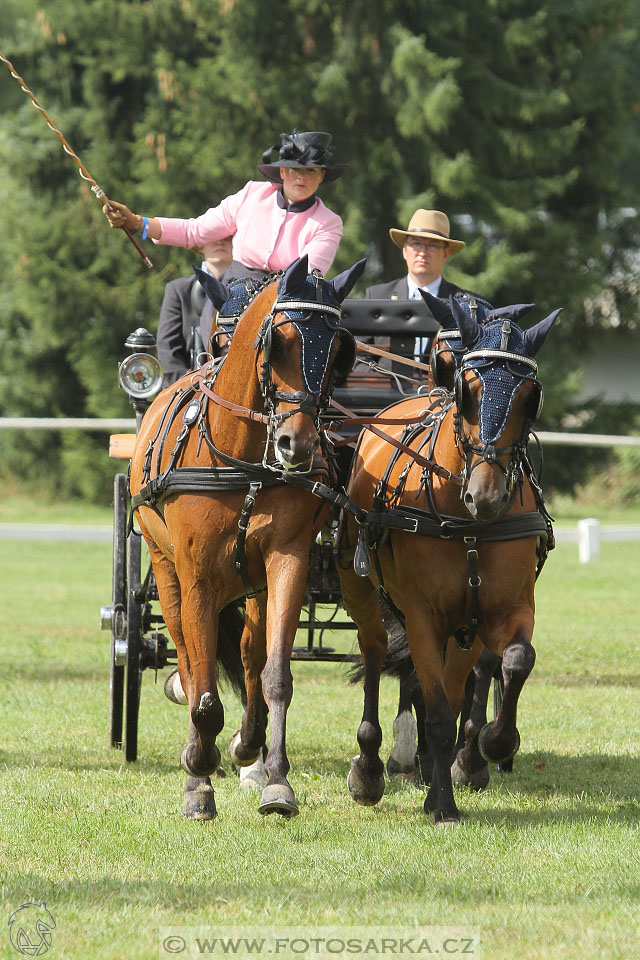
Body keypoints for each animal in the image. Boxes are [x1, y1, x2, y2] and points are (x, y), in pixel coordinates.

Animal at [130, 255, 364, 816]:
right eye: (278, 342)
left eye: (338, 349)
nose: (296, 444)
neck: (244, 460)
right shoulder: (195, 574)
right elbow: (203, 686)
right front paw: (198, 778)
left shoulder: (287, 561)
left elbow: (275, 674)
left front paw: (275, 778)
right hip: (165, 567)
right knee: (187, 654)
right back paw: (200, 752)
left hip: (251, 583)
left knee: (251, 654)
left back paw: (246, 747)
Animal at [340, 296, 560, 820]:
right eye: (469, 390)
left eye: (530, 396)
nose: (488, 496)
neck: (467, 524)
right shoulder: (423, 615)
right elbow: (439, 710)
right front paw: (443, 805)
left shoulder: (502, 610)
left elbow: (514, 661)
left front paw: (493, 745)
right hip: (363, 591)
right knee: (376, 656)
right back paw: (371, 769)